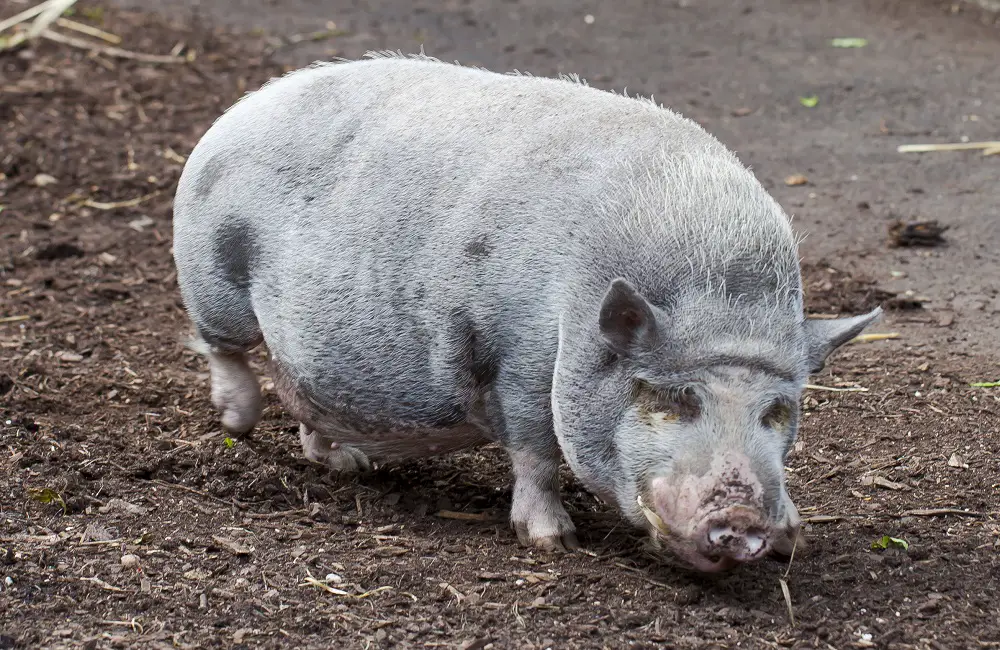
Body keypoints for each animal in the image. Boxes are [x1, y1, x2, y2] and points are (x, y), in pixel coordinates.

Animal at [172, 52, 882, 572]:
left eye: (777, 411)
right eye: (670, 401)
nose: (739, 519)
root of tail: (245, 106)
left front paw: (797, 537)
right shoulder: (519, 362)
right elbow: (536, 454)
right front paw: (553, 543)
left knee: (302, 394)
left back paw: (348, 464)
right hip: (210, 270)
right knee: (224, 348)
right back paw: (236, 421)